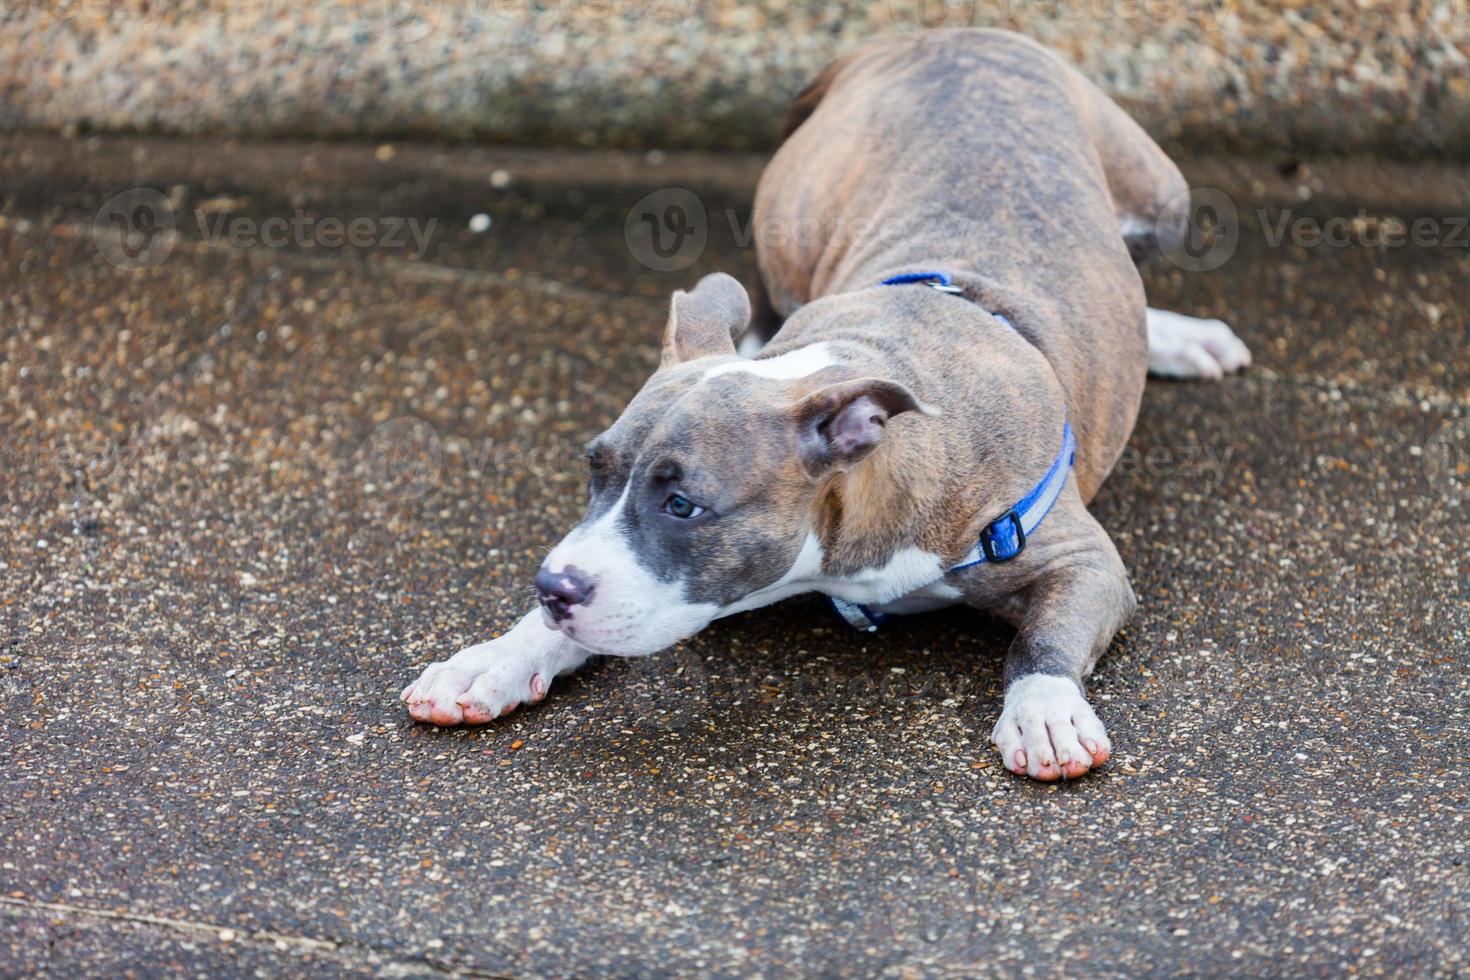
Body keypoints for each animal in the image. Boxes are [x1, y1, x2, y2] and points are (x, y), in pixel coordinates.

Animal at [405, 28, 1252, 781]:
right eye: (593, 470)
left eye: (682, 505)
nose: (553, 587)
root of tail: (941, 33)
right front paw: (495, 658)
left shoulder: (1084, 561)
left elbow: (1042, 640)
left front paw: (1045, 709)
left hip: (1163, 194)